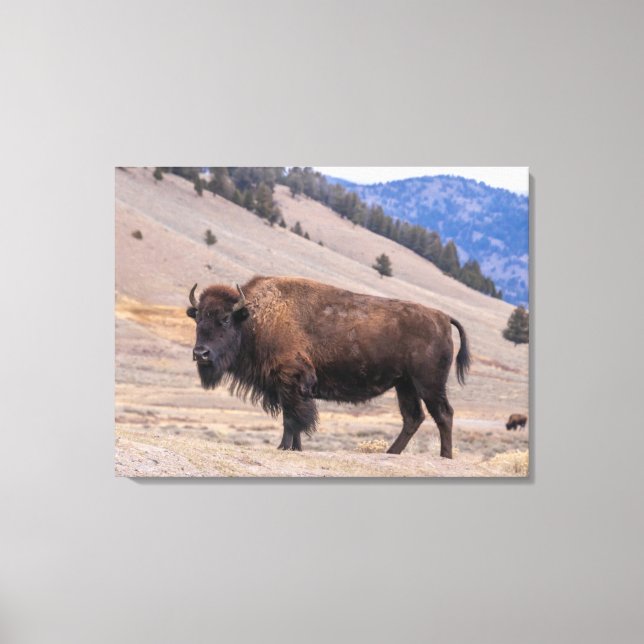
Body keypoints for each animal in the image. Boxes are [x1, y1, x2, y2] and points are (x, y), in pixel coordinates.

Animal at [187, 276, 470, 458]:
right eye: (198, 318)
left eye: (225, 319)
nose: (200, 353)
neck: (254, 319)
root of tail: (442, 317)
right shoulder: (288, 387)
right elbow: (294, 418)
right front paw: (295, 448)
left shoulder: (291, 380)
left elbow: (292, 418)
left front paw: (283, 447)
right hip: (405, 384)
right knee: (413, 417)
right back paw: (392, 453)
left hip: (429, 384)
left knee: (443, 414)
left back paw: (445, 456)